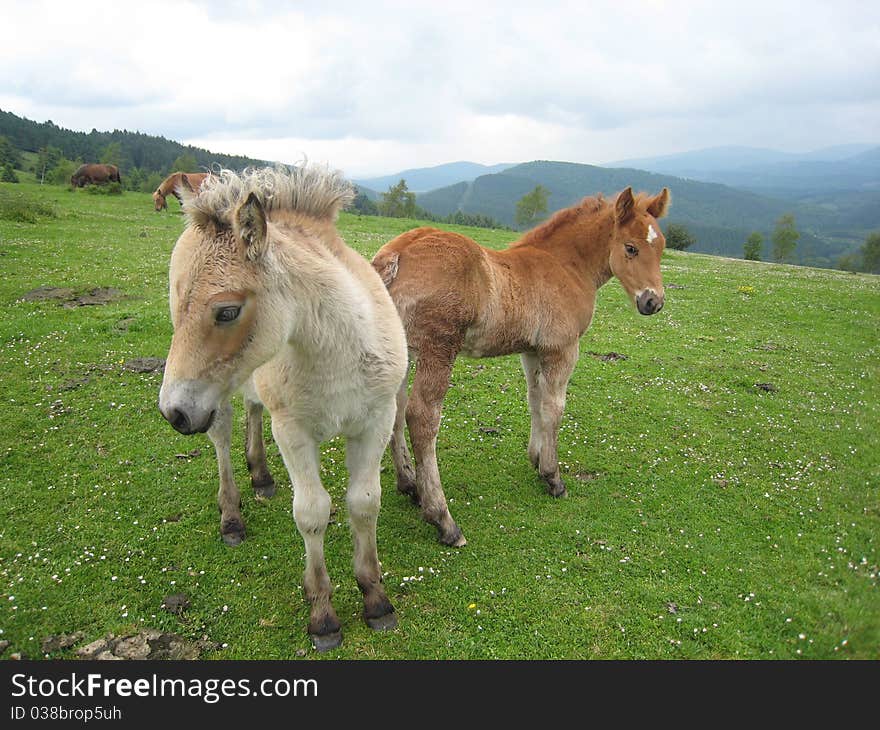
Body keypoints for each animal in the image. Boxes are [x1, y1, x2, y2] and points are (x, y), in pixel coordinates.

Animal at [372, 185, 668, 544]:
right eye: (631, 248)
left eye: (662, 247)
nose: (654, 301)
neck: (567, 266)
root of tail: (395, 254)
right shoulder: (562, 349)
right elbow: (555, 407)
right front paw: (553, 477)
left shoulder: (532, 351)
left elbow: (535, 400)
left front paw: (536, 458)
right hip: (438, 348)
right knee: (421, 417)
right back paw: (443, 519)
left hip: (400, 350)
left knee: (395, 410)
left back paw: (409, 484)